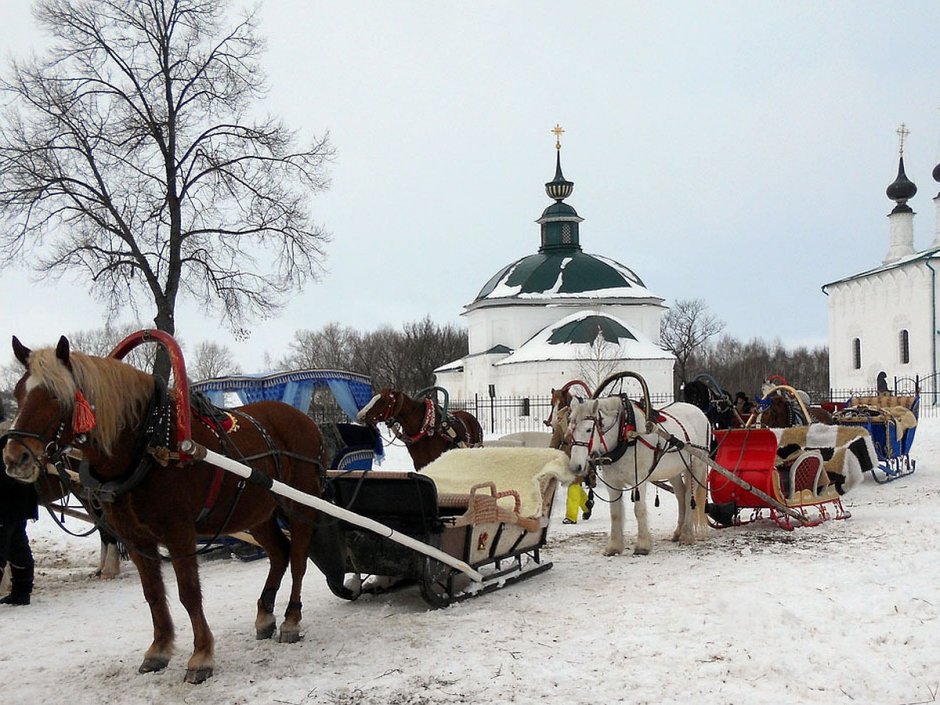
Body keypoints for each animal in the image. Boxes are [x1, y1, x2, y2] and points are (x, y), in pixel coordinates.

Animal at [1, 336, 340, 680]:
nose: (15, 458)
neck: (147, 445)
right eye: (18, 392)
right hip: (256, 512)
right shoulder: (136, 537)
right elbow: (152, 593)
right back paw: (265, 615)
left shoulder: (178, 531)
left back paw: (291, 619)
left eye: (55, 396)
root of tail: (307, 421)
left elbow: (188, 592)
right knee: (279, 553)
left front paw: (201, 655)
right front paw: (159, 649)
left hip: (300, 504)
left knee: (297, 559)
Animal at [564, 396, 712, 556]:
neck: (624, 435)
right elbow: (615, 513)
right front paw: (614, 546)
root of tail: (700, 412)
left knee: (688, 496)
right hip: (674, 470)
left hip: (696, 465)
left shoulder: (639, 481)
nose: (575, 467)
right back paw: (678, 531)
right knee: (680, 494)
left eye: (588, 429)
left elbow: (639, 510)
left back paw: (687, 534)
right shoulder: (613, 483)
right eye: (570, 430)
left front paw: (642, 545)